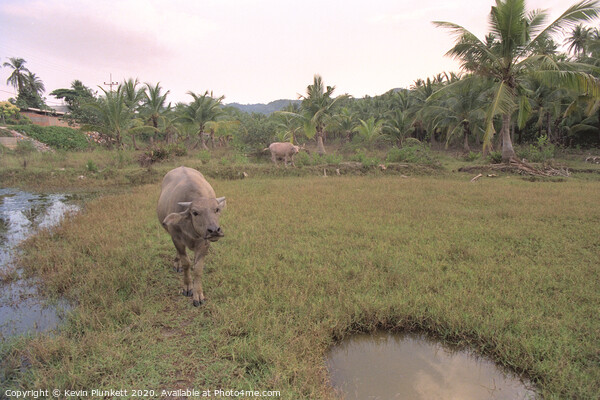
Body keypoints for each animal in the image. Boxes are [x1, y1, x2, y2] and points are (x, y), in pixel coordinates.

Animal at [156, 166, 226, 306]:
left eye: (216, 209)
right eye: (195, 212)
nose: (214, 230)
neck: (191, 230)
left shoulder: (204, 243)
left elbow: (198, 268)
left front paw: (198, 295)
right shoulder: (176, 238)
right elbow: (186, 263)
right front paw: (187, 287)